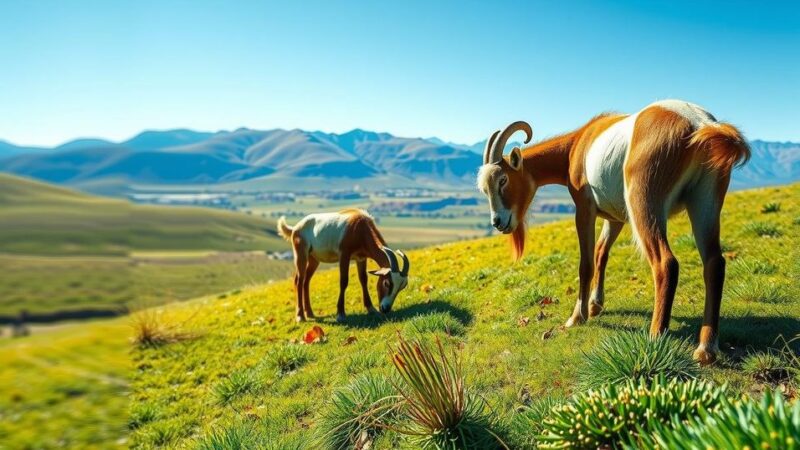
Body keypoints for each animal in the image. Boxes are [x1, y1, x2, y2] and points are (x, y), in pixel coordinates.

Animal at [278, 209, 410, 322]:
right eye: (386, 283)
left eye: (401, 287)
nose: (385, 308)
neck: (360, 226)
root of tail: (296, 228)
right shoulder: (344, 256)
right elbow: (344, 281)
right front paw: (340, 315)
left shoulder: (361, 258)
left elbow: (363, 280)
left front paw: (371, 309)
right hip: (301, 254)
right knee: (299, 281)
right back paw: (300, 316)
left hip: (314, 260)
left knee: (306, 281)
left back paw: (310, 313)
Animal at [482, 100, 752, 364]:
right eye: (485, 189)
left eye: (503, 180)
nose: (498, 222)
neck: (578, 143)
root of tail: (699, 124)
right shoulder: (615, 219)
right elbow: (601, 253)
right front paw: (595, 305)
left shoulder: (584, 208)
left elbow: (586, 263)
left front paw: (577, 317)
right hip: (705, 199)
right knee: (714, 263)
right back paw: (706, 348)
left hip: (644, 201)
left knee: (666, 263)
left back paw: (655, 338)